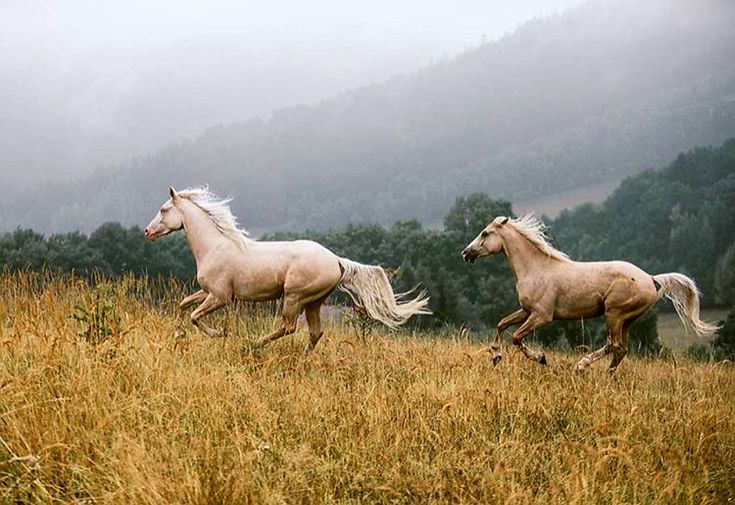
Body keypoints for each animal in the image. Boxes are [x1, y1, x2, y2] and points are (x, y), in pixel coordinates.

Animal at [144, 186, 432, 354]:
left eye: (163, 209)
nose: (147, 232)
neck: (215, 246)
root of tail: (336, 260)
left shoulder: (220, 297)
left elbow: (194, 316)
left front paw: (220, 333)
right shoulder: (208, 292)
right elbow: (183, 305)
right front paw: (178, 335)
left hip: (295, 297)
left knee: (288, 327)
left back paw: (255, 344)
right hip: (314, 302)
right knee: (315, 333)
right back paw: (304, 360)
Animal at [460, 213, 720, 370]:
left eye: (485, 233)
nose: (465, 253)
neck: (536, 267)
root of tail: (650, 278)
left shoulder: (542, 316)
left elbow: (515, 337)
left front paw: (541, 358)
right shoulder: (526, 311)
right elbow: (501, 324)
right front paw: (496, 355)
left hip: (614, 314)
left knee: (614, 345)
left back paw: (581, 366)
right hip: (627, 320)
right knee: (621, 349)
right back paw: (608, 377)